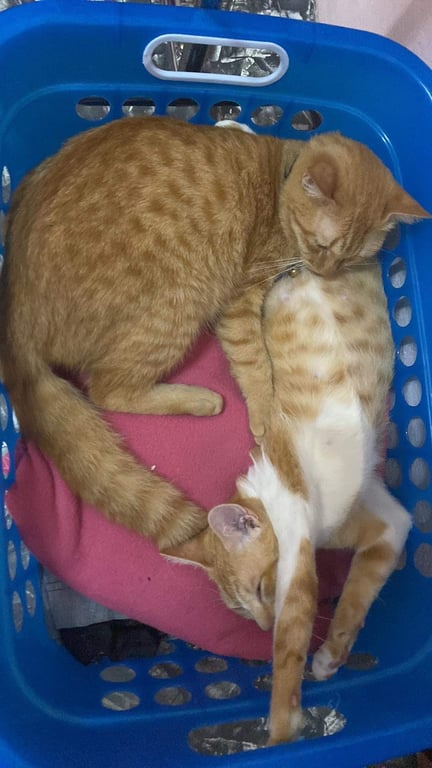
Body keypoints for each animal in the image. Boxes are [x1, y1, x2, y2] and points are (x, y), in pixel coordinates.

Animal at [0, 115, 428, 549]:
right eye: (322, 245)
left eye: (353, 257)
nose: (325, 272)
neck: (278, 181)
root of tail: (16, 320)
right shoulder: (239, 302)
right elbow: (255, 363)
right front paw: (264, 413)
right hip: (180, 302)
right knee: (108, 390)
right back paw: (200, 399)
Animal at [163, 261, 416, 745]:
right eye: (242, 610)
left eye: (262, 590)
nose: (262, 626)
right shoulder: (389, 520)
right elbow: (358, 592)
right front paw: (333, 653)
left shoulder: (297, 548)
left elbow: (290, 643)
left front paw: (279, 732)